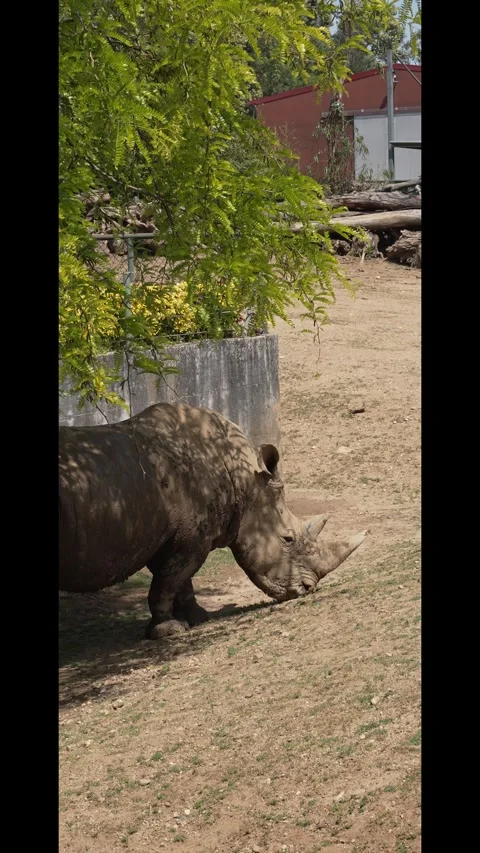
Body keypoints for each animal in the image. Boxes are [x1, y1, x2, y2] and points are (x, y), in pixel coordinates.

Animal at [59, 402, 367, 639]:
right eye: (288, 539)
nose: (307, 589)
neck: (245, 484)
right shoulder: (191, 537)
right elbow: (170, 580)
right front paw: (169, 630)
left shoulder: (174, 536)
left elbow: (179, 580)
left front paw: (198, 618)